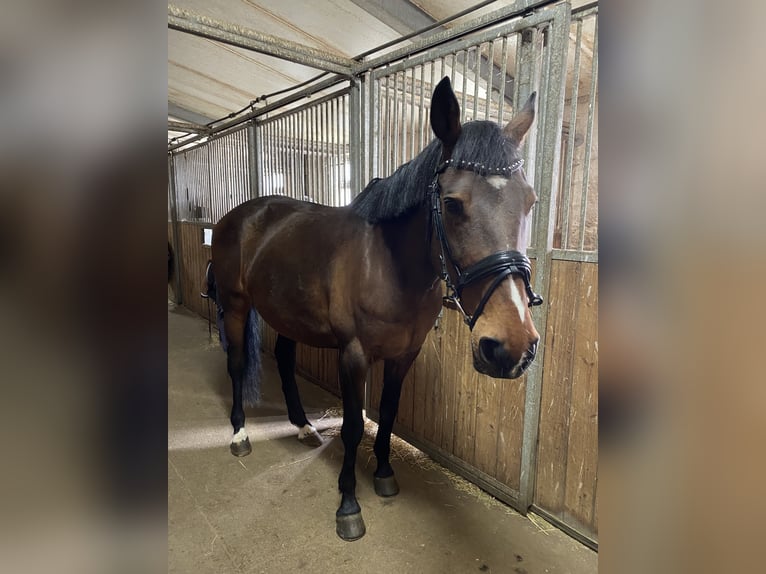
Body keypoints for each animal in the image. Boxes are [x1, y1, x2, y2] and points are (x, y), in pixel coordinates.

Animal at [208, 76, 543, 541]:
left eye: (530, 201)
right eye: (453, 203)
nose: (512, 346)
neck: (386, 264)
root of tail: (239, 216)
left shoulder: (405, 355)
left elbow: (387, 413)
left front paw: (384, 473)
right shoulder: (353, 355)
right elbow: (352, 427)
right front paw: (348, 505)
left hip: (286, 314)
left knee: (284, 360)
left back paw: (302, 426)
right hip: (236, 305)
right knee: (238, 362)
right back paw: (239, 434)